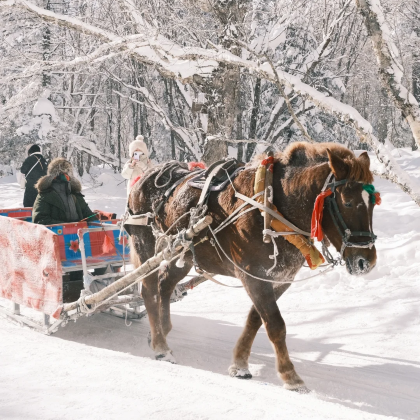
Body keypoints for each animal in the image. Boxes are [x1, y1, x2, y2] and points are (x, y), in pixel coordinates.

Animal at [126, 141, 376, 390]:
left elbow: (255, 320)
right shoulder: (253, 277)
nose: (366, 261)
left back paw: (161, 330)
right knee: (149, 290)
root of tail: (145, 177)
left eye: (373, 202)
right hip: (144, 242)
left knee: (165, 284)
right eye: (347, 202)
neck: (272, 206)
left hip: (183, 254)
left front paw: (239, 364)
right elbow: (275, 325)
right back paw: (161, 346)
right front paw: (289, 375)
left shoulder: (278, 279)